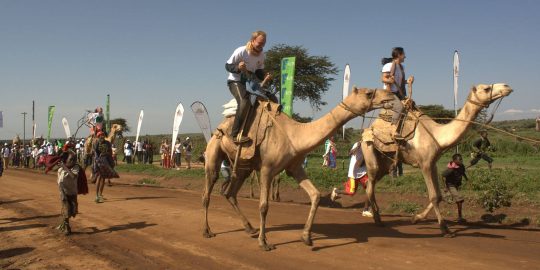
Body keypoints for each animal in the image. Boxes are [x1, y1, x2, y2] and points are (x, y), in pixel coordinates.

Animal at [202, 87, 392, 250]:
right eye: (368, 93)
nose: (389, 97)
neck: (294, 135)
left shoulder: (295, 168)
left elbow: (315, 195)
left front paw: (306, 237)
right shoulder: (267, 169)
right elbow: (263, 206)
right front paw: (264, 243)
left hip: (243, 166)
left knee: (230, 193)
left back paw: (250, 228)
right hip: (213, 154)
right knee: (208, 192)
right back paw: (207, 231)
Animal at [360, 83, 512, 236]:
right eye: (486, 89)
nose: (507, 86)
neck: (437, 135)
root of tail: (367, 129)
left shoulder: (433, 164)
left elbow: (439, 196)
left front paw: (416, 218)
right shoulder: (425, 164)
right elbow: (433, 196)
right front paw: (444, 228)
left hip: (385, 163)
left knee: (370, 185)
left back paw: (376, 216)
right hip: (369, 150)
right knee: (370, 185)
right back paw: (377, 219)